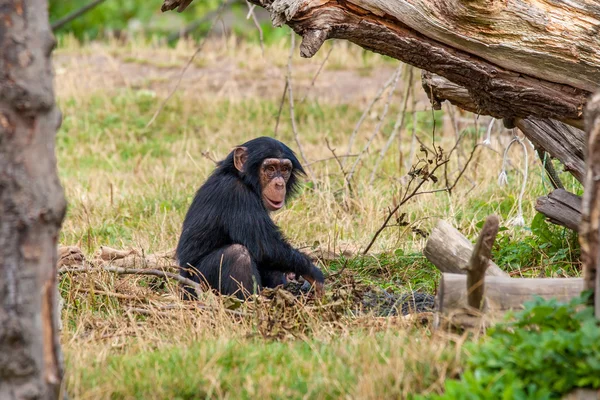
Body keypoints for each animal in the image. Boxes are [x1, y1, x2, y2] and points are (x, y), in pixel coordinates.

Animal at [177, 136, 324, 298]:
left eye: (285, 169)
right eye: (270, 168)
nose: (279, 184)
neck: (244, 181)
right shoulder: (237, 195)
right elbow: (266, 246)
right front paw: (313, 273)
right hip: (197, 287)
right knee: (237, 255)